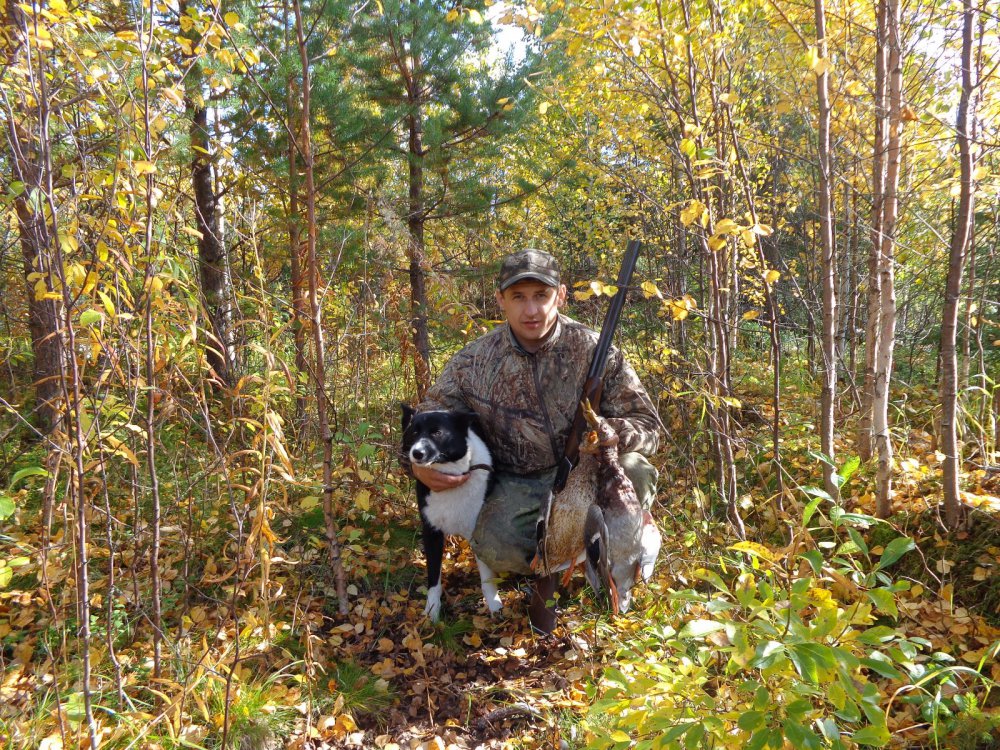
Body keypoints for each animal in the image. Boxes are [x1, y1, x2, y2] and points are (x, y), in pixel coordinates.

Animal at [400, 406, 500, 624]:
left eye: (437, 432)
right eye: (414, 432)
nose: (416, 453)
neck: (451, 477)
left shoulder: (477, 532)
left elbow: (487, 577)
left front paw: (495, 606)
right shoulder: (431, 532)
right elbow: (434, 578)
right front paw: (432, 611)